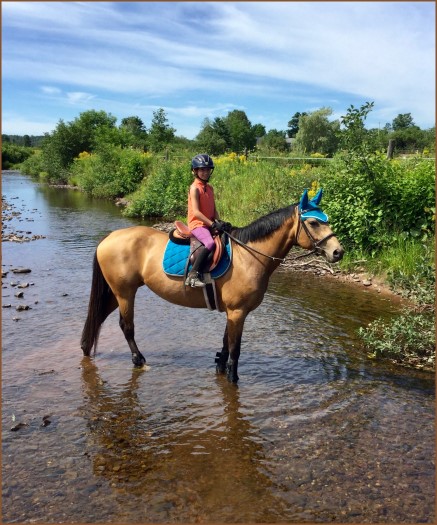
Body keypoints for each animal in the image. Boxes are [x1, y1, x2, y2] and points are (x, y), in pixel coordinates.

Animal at [81, 187, 340, 380]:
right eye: (314, 223)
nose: (338, 252)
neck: (248, 255)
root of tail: (109, 238)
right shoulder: (238, 311)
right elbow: (235, 349)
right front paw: (233, 378)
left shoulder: (234, 312)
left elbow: (226, 344)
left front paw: (220, 367)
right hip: (125, 293)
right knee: (126, 326)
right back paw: (138, 360)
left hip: (117, 292)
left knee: (99, 316)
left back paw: (85, 347)